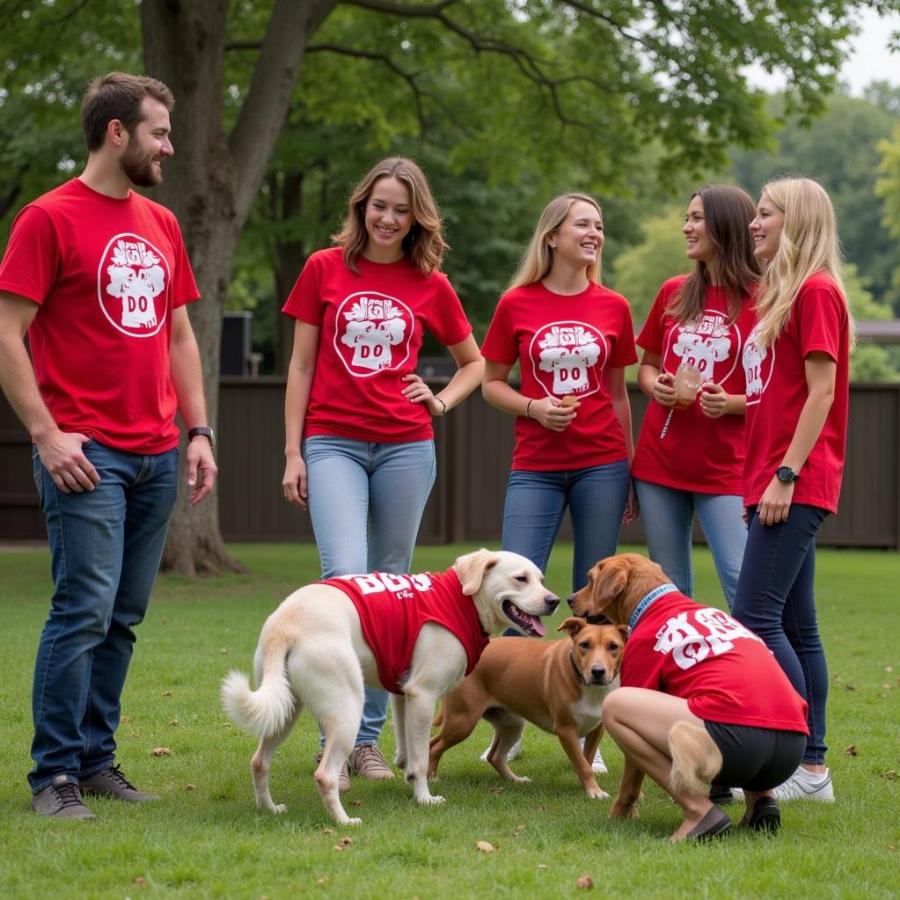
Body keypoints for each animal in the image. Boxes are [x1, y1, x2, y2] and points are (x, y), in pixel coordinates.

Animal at [221, 544, 556, 828]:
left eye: (541, 579)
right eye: (521, 578)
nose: (553, 601)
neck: (462, 599)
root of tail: (284, 625)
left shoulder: (403, 693)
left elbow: (408, 747)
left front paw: (406, 773)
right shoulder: (423, 695)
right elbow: (422, 756)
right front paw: (424, 797)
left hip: (284, 710)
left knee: (259, 763)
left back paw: (269, 808)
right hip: (346, 712)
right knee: (325, 776)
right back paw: (344, 821)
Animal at [428, 620, 624, 796]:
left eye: (613, 646)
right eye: (584, 644)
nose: (597, 671)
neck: (585, 684)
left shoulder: (597, 729)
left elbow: (586, 761)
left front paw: (587, 786)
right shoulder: (565, 730)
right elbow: (583, 765)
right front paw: (594, 792)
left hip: (511, 725)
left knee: (495, 756)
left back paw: (514, 780)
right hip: (462, 721)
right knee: (433, 745)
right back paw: (431, 778)